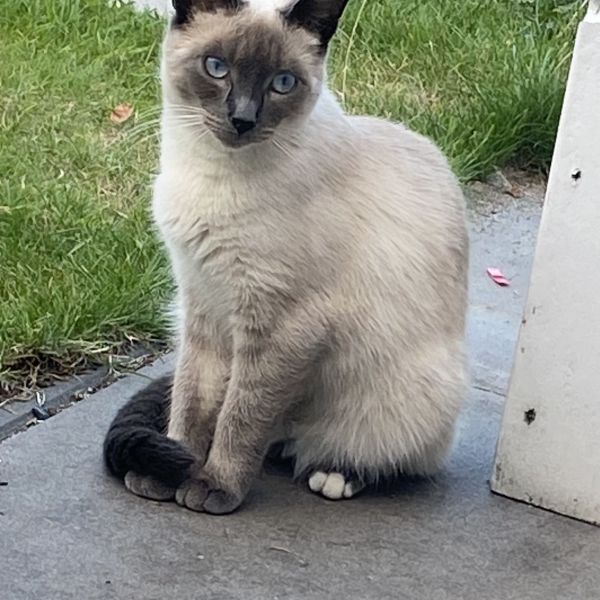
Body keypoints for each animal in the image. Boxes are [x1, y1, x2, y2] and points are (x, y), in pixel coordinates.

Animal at [103, 0, 468, 516]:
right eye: (216, 68)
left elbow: (241, 416)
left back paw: (336, 473)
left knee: (378, 453)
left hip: (408, 393)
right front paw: (171, 469)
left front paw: (212, 485)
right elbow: (192, 404)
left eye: (282, 82)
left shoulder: (280, 325)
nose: (242, 119)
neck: (212, 175)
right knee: (266, 434)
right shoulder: (202, 303)